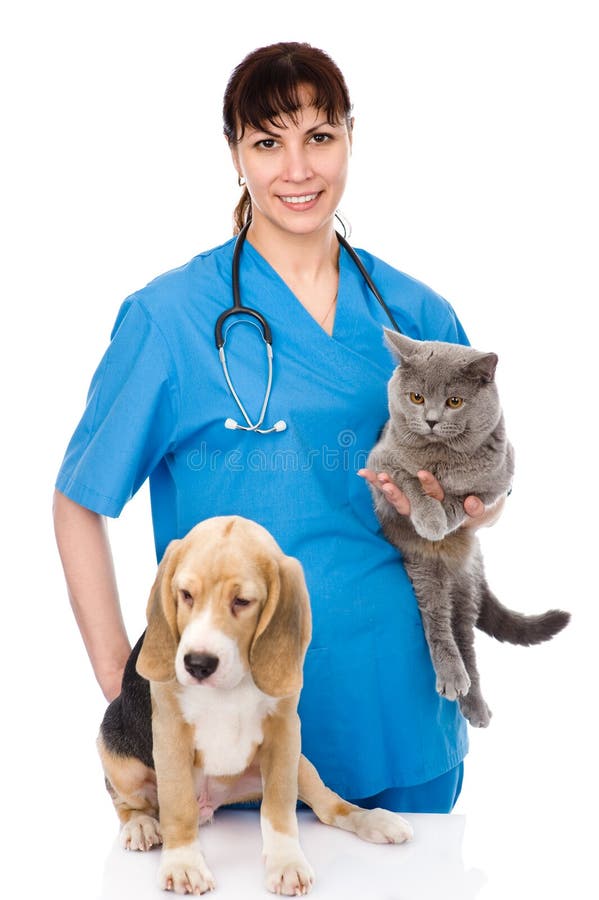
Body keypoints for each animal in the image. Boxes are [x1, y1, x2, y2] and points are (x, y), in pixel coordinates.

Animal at [98, 516, 414, 896]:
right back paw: (142, 825)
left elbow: (278, 810)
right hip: (115, 753)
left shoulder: (284, 733)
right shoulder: (170, 734)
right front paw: (183, 863)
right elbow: (178, 806)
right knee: (128, 803)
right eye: (185, 595)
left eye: (242, 601)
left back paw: (375, 819)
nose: (198, 664)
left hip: (299, 764)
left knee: (329, 807)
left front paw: (286, 863)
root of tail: (211, 804)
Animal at [366, 328, 572, 724]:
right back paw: (453, 678)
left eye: (455, 401)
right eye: (416, 397)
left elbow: (465, 500)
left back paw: (473, 701)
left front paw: (444, 514)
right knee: (437, 623)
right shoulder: (380, 464)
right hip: (424, 572)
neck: (440, 456)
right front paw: (430, 517)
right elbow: (411, 481)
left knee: (464, 636)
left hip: (464, 587)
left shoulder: (499, 478)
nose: (431, 419)